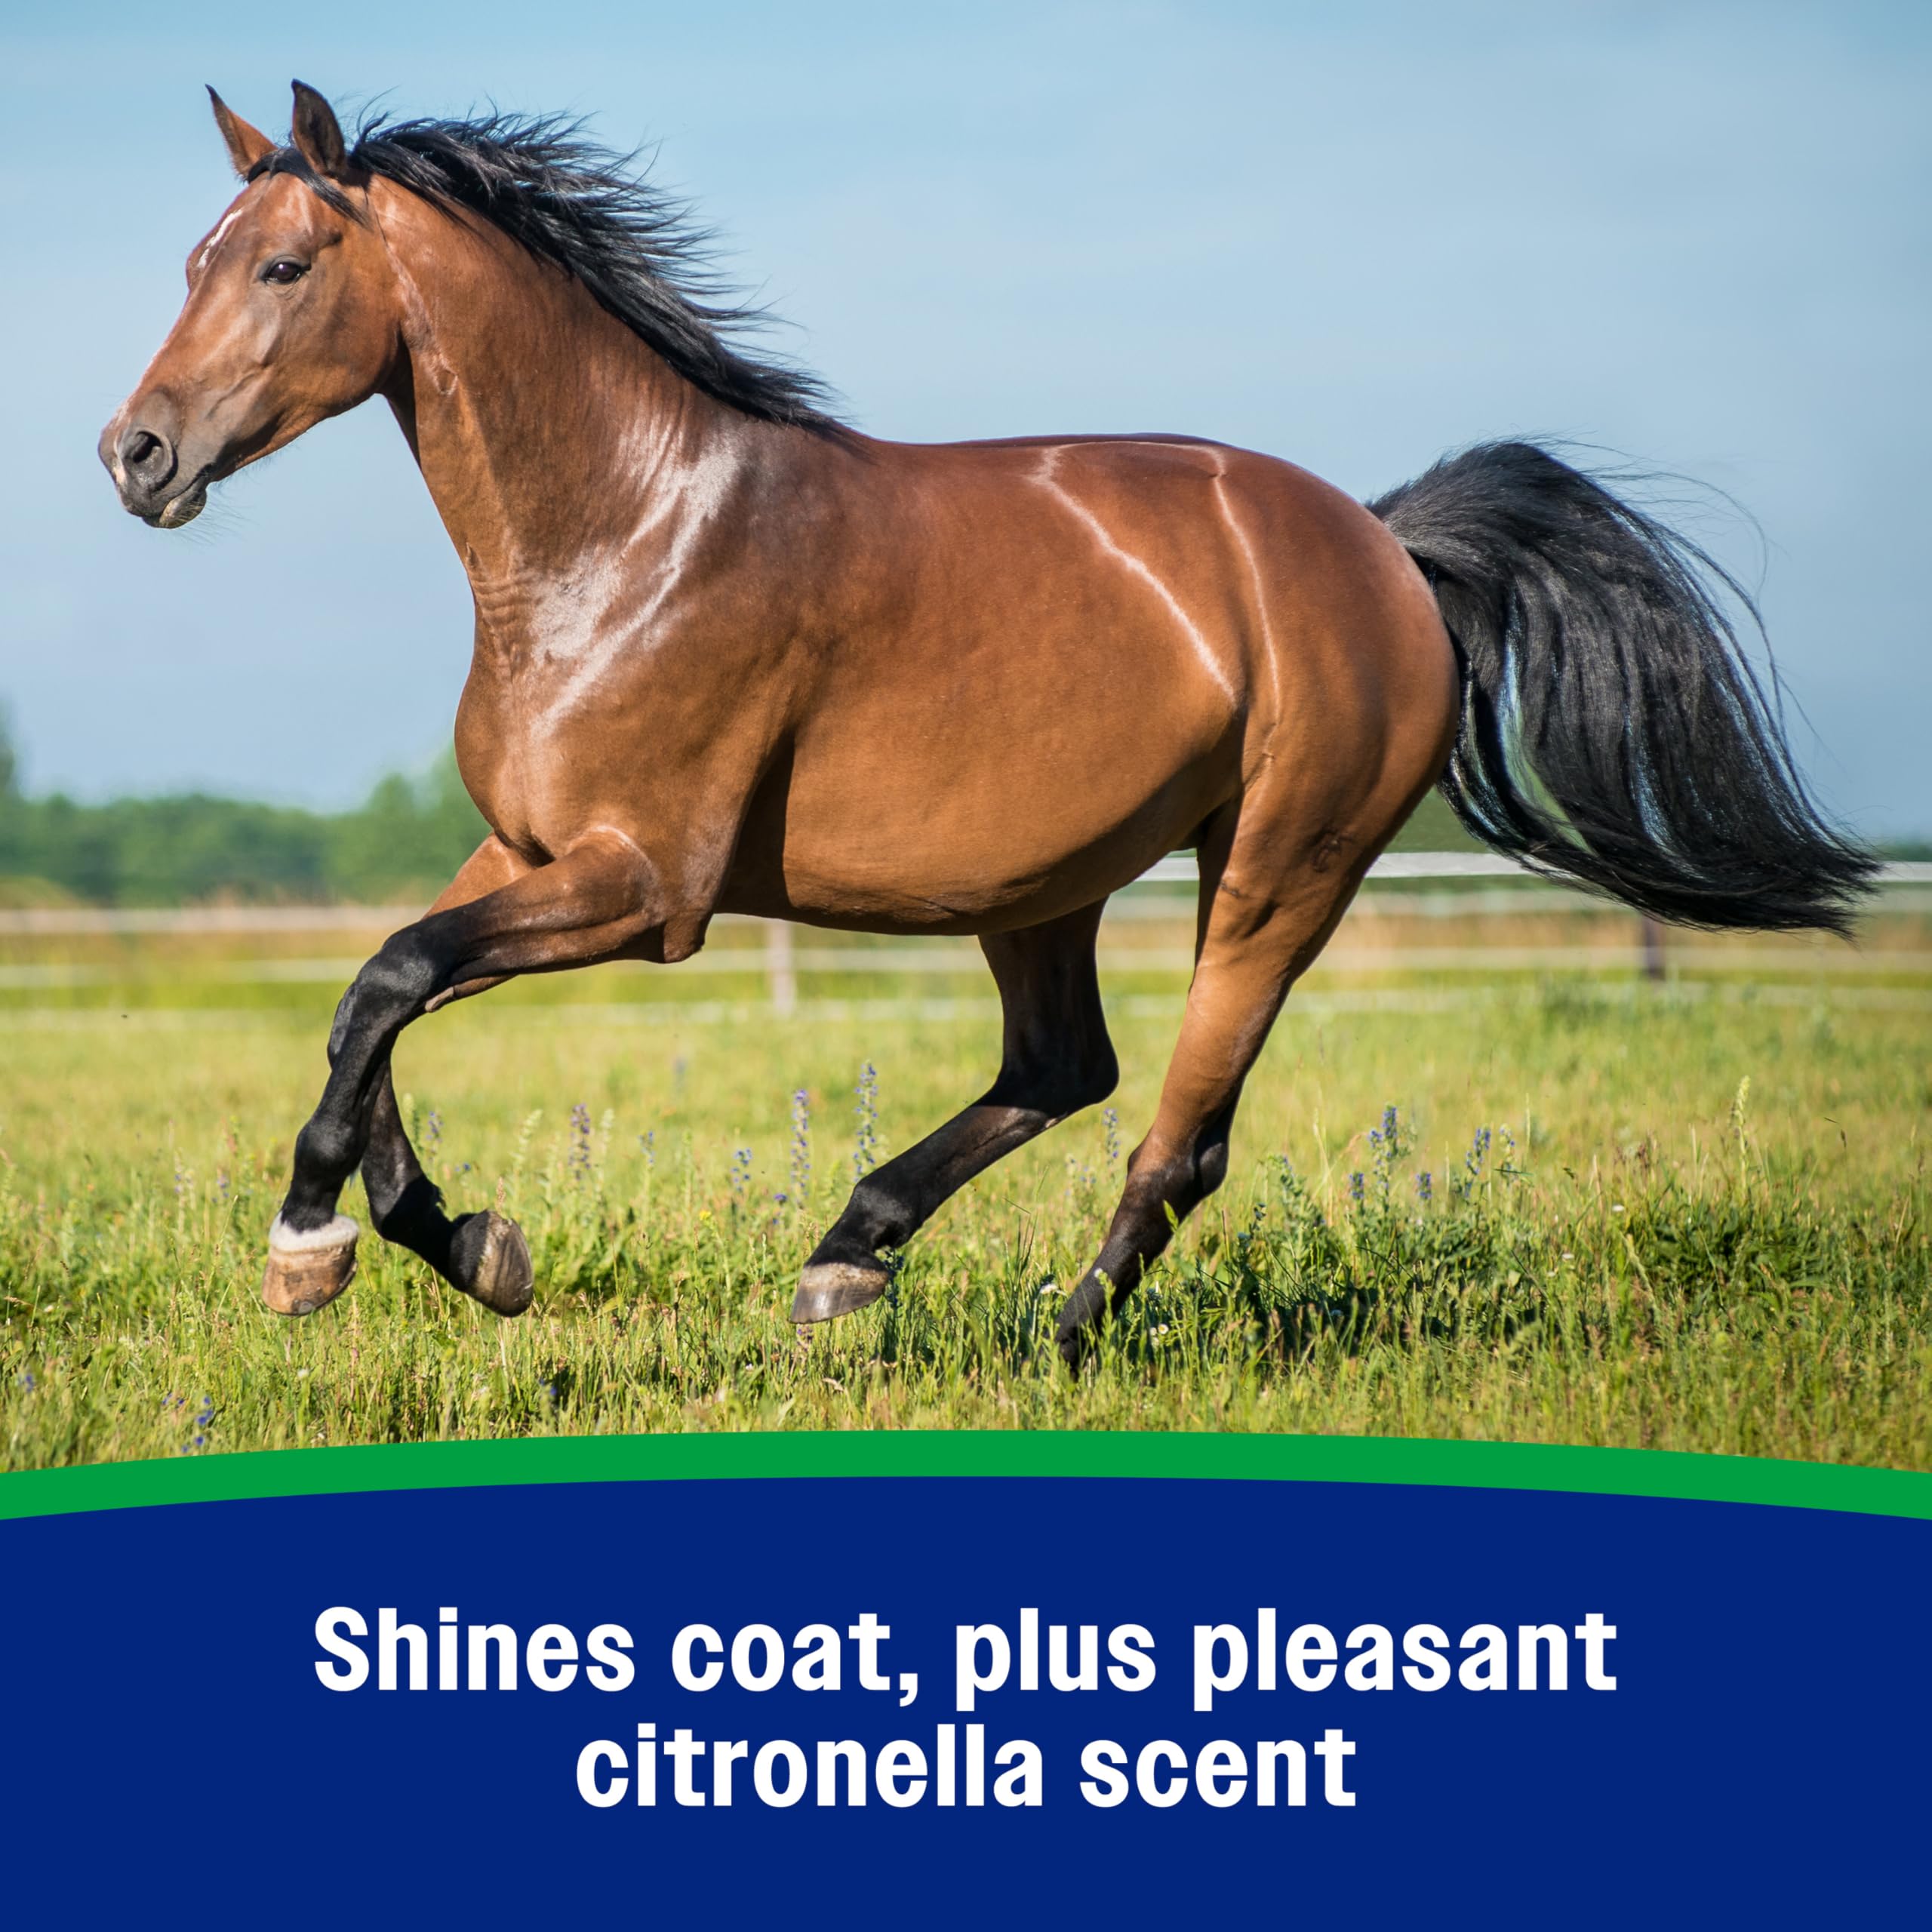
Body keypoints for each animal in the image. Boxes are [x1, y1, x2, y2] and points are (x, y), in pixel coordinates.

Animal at [101, 83, 1875, 1361]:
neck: (623, 534)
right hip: (1041, 886)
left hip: (1279, 872)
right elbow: (373, 1003)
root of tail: (1381, 546)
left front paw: (311, 1248)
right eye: (192, 263)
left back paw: (1051, 1339)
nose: (136, 452)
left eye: (282, 265)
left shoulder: (645, 887)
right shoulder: (526, 849)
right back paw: (846, 1263)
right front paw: (464, 1245)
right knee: (1063, 1066)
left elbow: (388, 978)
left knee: (1177, 1136)